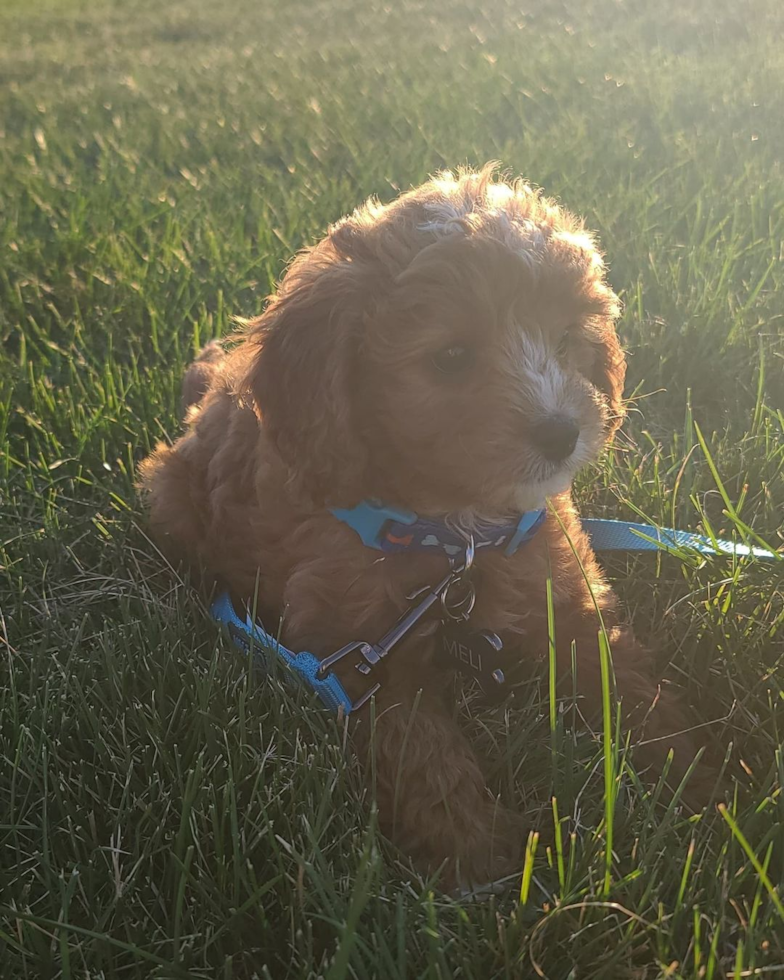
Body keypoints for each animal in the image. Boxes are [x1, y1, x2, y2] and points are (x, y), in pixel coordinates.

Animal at [139, 163, 712, 888]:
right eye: (452, 356)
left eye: (566, 341)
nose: (562, 432)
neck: (457, 537)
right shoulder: (362, 653)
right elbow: (421, 749)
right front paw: (477, 851)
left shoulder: (569, 597)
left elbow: (623, 677)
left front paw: (693, 775)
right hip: (170, 495)